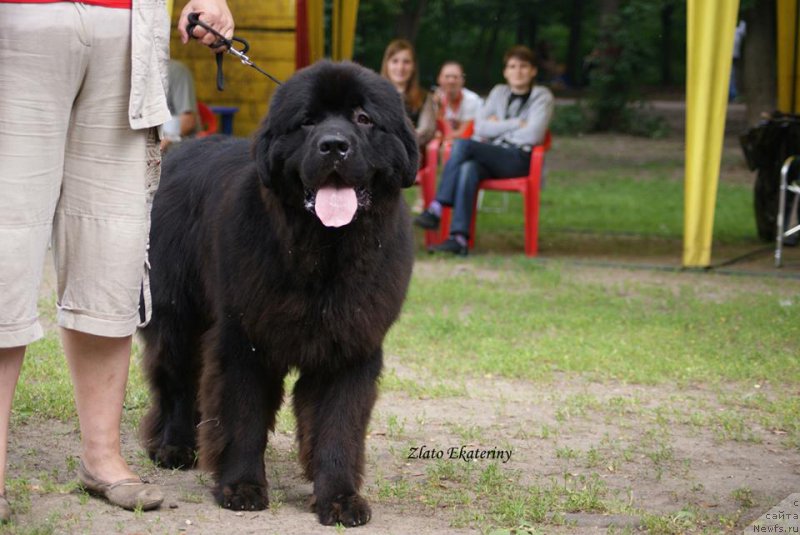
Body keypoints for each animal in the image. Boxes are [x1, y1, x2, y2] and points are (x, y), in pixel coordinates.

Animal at [141, 60, 418, 524]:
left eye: (364, 118)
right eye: (307, 121)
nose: (334, 146)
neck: (324, 254)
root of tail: (180, 151)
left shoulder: (351, 346)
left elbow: (338, 426)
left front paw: (339, 497)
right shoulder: (243, 340)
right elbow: (243, 417)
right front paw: (241, 486)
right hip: (175, 312)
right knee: (176, 381)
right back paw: (174, 446)